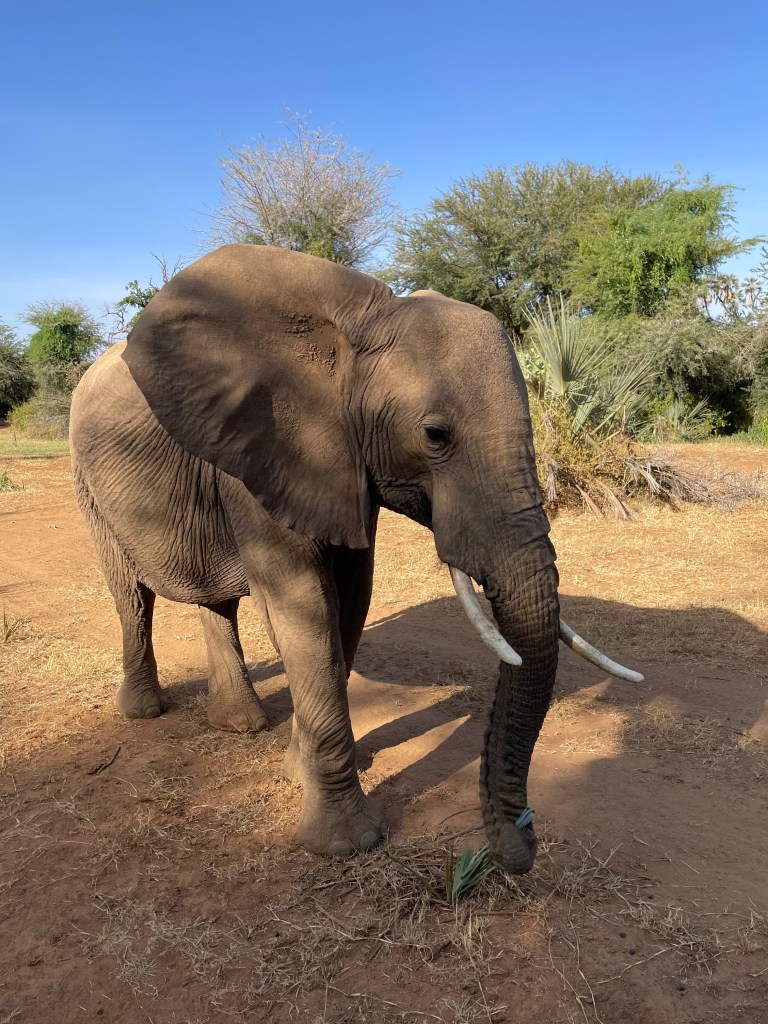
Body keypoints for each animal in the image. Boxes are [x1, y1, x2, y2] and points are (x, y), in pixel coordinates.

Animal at [69, 244, 641, 874]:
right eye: (435, 435)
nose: (519, 848)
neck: (350, 337)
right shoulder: (267, 447)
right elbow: (304, 602)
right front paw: (346, 842)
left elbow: (350, 596)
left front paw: (295, 770)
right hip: (87, 481)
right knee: (130, 596)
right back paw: (144, 712)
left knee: (215, 602)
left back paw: (241, 727)